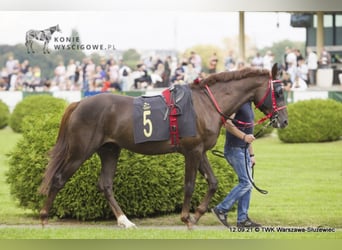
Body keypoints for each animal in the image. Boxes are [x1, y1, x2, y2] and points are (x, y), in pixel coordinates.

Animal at [38, 64, 288, 229]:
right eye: (279, 91)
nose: (284, 121)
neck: (206, 104)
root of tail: (79, 103)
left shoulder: (201, 151)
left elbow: (213, 182)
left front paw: (197, 215)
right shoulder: (192, 151)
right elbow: (189, 185)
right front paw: (187, 218)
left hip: (109, 150)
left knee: (106, 185)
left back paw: (125, 221)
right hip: (80, 150)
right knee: (58, 179)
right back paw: (44, 216)